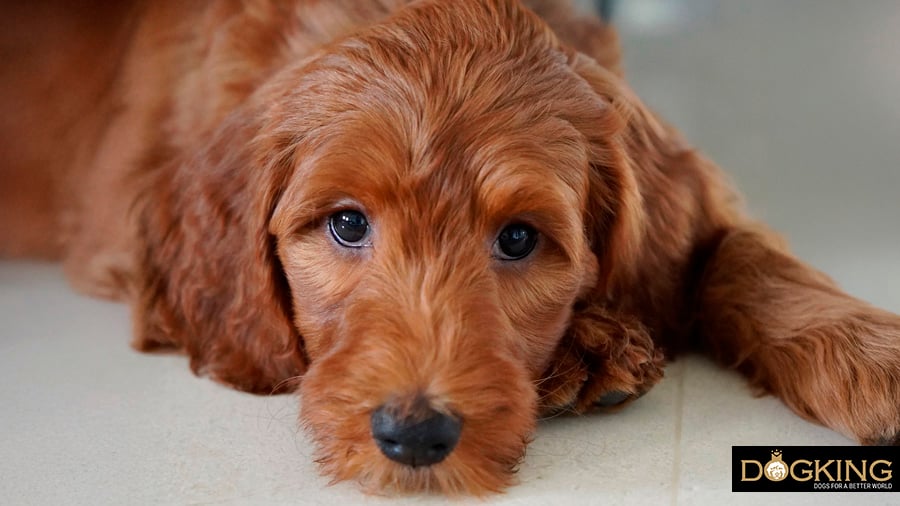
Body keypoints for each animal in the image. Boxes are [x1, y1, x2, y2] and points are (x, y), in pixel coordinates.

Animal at [1, 0, 900, 496]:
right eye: (347, 224)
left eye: (519, 238)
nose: (413, 437)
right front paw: (594, 342)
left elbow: (744, 258)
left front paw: (872, 353)